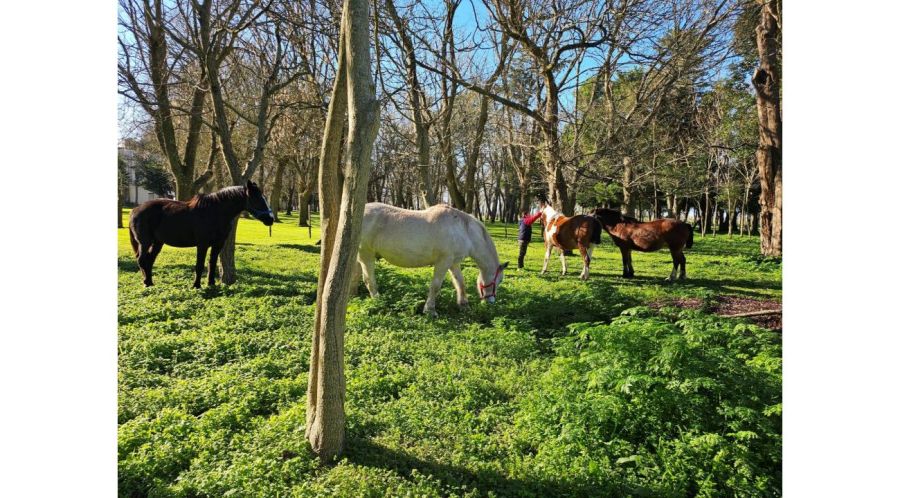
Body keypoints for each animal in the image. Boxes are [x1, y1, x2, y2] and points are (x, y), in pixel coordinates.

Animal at [128, 181, 274, 288]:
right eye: (257, 199)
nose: (270, 219)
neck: (214, 213)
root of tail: (135, 210)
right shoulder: (202, 245)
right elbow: (200, 265)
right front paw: (196, 285)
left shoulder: (218, 244)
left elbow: (212, 263)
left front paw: (211, 284)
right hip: (145, 242)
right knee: (142, 260)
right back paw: (146, 283)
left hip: (158, 242)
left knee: (149, 260)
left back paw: (150, 282)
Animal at [354, 202, 509, 317]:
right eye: (500, 280)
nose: (491, 301)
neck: (463, 230)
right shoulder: (443, 262)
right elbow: (435, 286)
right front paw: (430, 310)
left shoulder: (453, 262)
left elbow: (460, 282)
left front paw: (464, 305)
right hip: (366, 255)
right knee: (369, 280)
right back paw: (378, 303)